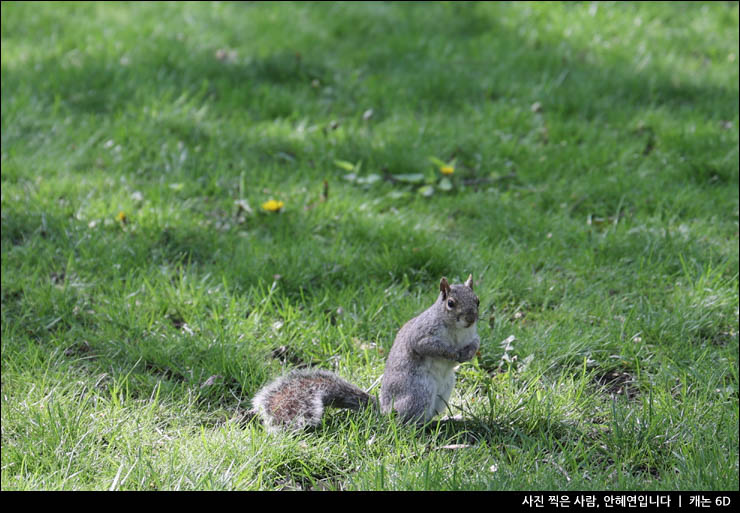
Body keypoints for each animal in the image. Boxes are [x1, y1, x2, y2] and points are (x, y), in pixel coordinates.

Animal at [251, 274, 482, 430]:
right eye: (451, 303)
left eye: (477, 300)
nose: (471, 318)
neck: (457, 330)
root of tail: (385, 410)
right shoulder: (422, 334)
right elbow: (428, 346)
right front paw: (452, 353)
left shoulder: (472, 335)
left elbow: (475, 343)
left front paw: (468, 353)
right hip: (418, 391)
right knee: (404, 421)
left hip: (443, 392)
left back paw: (444, 422)